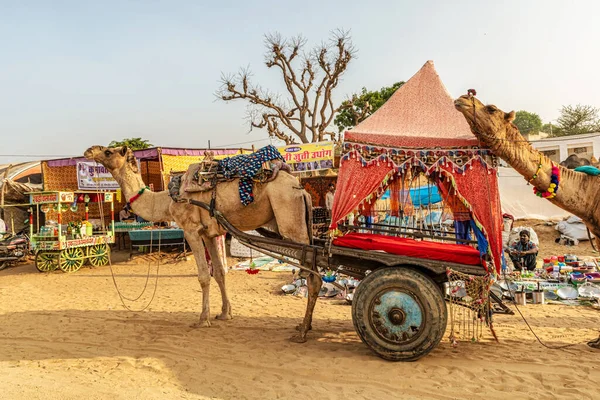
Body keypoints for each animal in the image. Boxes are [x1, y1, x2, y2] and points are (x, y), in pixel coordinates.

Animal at [83, 145, 324, 342]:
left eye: (108, 151)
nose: (88, 151)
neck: (166, 199)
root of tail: (300, 187)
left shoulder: (191, 230)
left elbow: (203, 276)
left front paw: (202, 318)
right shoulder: (209, 233)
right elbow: (219, 272)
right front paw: (225, 313)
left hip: (291, 223)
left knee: (314, 277)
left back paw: (303, 330)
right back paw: (304, 326)